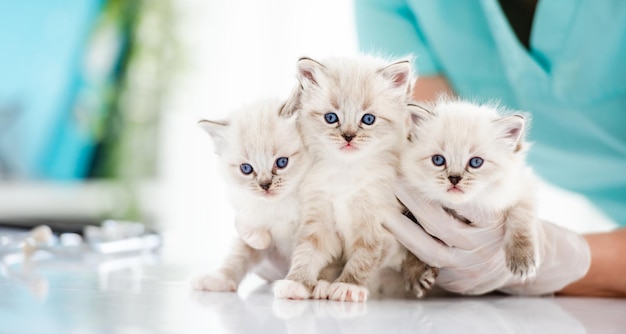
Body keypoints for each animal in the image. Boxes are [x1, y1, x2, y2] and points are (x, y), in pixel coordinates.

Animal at [189, 98, 308, 290]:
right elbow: (238, 256)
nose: (265, 185)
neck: (280, 205)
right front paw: (219, 279)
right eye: (246, 169)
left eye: (282, 162)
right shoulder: (252, 228)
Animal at [272, 55, 438, 302]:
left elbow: (362, 260)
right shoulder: (320, 221)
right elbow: (306, 252)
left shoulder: (378, 228)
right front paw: (297, 282)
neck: (346, 172)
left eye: (368, 119)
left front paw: (347, 286)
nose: (348, 137)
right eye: (331, 118)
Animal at [400, 98, 540, 282]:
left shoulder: (523, 186)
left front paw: (522, 260)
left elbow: (520, 218)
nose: (454, 178)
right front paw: (415, 271)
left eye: (475, 162)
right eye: (438, 160)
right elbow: (418, 241)